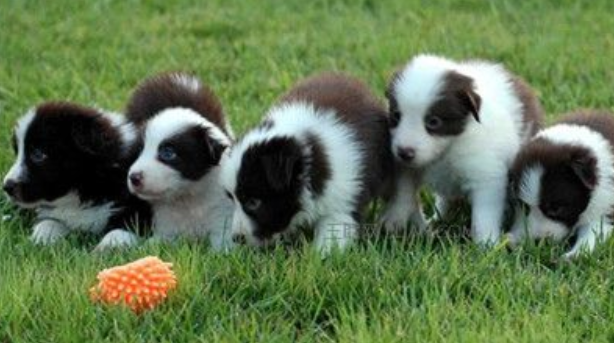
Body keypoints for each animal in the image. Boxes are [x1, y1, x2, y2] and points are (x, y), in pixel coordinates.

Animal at [2, 102, 152, 250]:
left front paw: (110, 246)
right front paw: (42, 238)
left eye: (38, 154)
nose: (7, 186)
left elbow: (126, 226)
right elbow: (49, 221)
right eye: (17, 153)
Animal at [127, 72, 236, 250]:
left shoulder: (222, 214)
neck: (187, 197)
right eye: (139, 151)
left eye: (168, 153)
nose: (134, 177)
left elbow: (222, 244)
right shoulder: (165, 229)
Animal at [221, 73, 394, 255]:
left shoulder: (343, 198)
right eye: (232, 199)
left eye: (253, 202)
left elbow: (334, 230)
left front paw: (321, 256)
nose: (237, 238)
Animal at [382, 55, 548, 246]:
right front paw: (395, 219)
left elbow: (484, 215)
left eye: (433, 121)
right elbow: (404, 190)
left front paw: (487, 244)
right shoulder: (408, 167)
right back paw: (438, 218)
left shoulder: (486, 176)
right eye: (396, 116)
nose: (404, 152)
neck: (448, 148)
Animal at [508, 111, 614, 260]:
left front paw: (572, 256)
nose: (538, 241)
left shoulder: (605, 206)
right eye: (526, 207)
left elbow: (593, 234)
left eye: (556, 208)